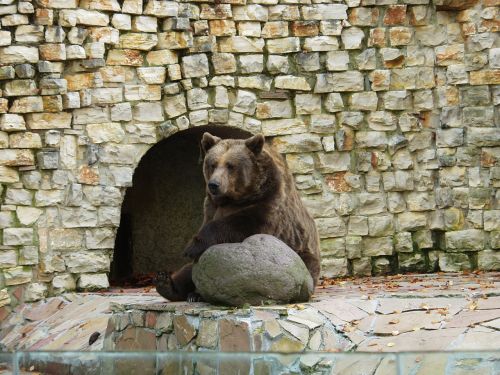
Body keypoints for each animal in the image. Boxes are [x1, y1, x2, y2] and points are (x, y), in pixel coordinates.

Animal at [154, 133, 322, 302]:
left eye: (230, 165)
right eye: (213, 164)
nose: (213, 184)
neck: (234, 198)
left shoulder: (269, 203)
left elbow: (241, 226)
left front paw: (191, 247)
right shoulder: (211, 206)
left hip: (302, 254)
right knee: (188, 271)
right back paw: (167, 283)